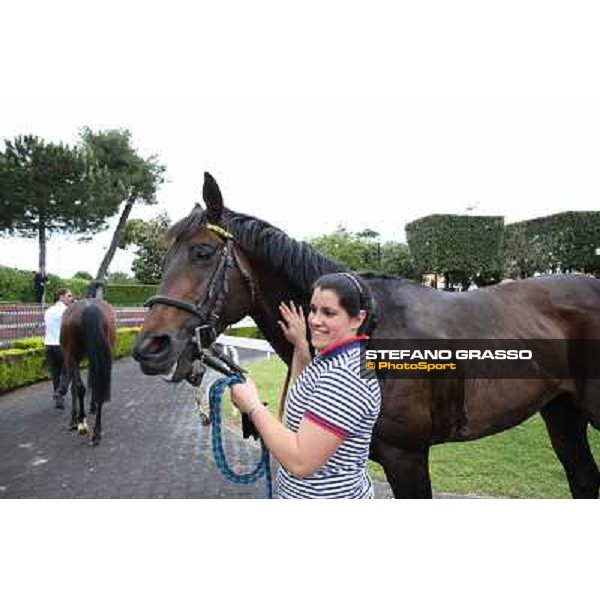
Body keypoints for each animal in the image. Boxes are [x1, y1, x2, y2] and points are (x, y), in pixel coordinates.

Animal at [59, 286, 117, 446]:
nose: (60, 390)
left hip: (73, 356)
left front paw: (75, 419)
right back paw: (97, 431)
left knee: (79, 387)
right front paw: (92, 406)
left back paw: (82, 423)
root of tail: (89, 307)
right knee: (99, 385)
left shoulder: (71, 359)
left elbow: (75, 388)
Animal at [131, 172, 600, 496]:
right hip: (561, 411)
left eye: (202, 252)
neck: (370, 333)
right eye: (164, 259)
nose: (150, 347)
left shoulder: (406, 456)